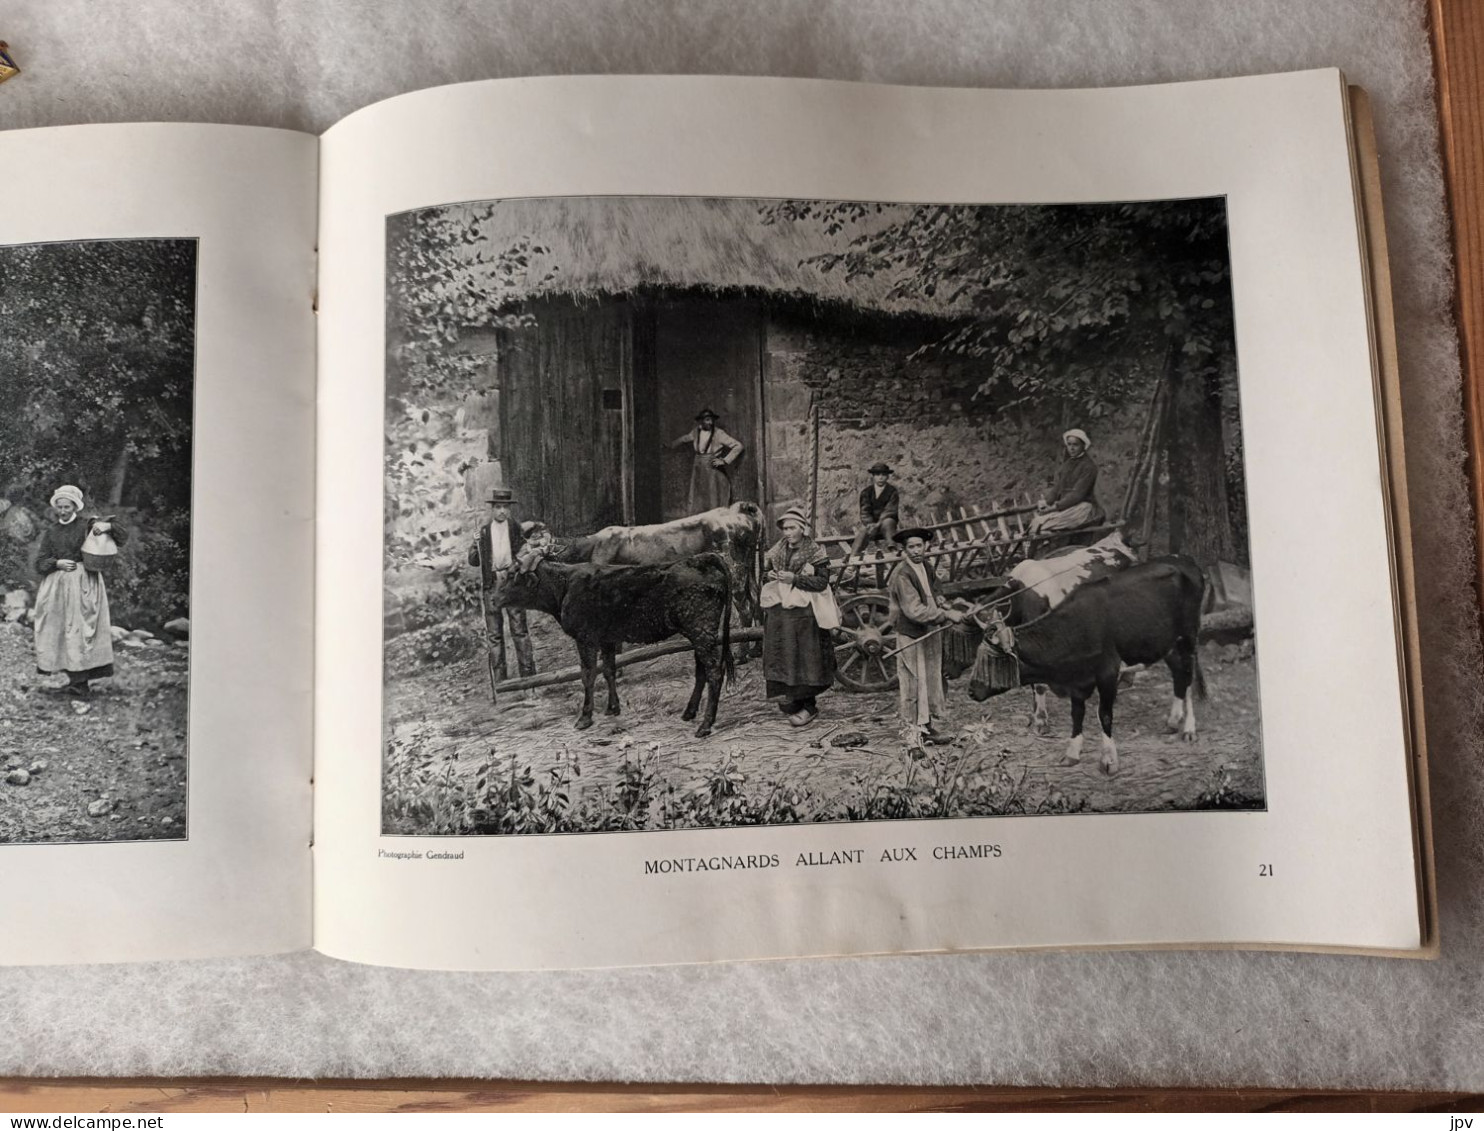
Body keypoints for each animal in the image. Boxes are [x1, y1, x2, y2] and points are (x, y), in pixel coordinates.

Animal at [495, 552, 733, 736]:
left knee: (714, 672)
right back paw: (689, 713)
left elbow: (588, 675)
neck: (564, 585)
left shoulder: (586, 638)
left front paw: (585, 717)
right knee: (701, 671)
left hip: (701, 630)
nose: (493, 598)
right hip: (698, 633)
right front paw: (613, 708)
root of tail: (699, 558)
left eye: (511, 576)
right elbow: (609, 669)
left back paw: (705, 725)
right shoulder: (607, 639)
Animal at [973, 555, 1205, 777]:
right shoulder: (1077, 681)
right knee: (1178, 675)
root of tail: (1185, 561)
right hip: (1167, 643)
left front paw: (1109, 760)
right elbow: (1077, 714)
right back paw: (1173, 721)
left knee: (1188, 677)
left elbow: (1104, 714)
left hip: (1189, 636)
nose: (971, 690)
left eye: (992, 660)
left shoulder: (1108, 672)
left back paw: (1189, 729)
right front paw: (1072, 753)